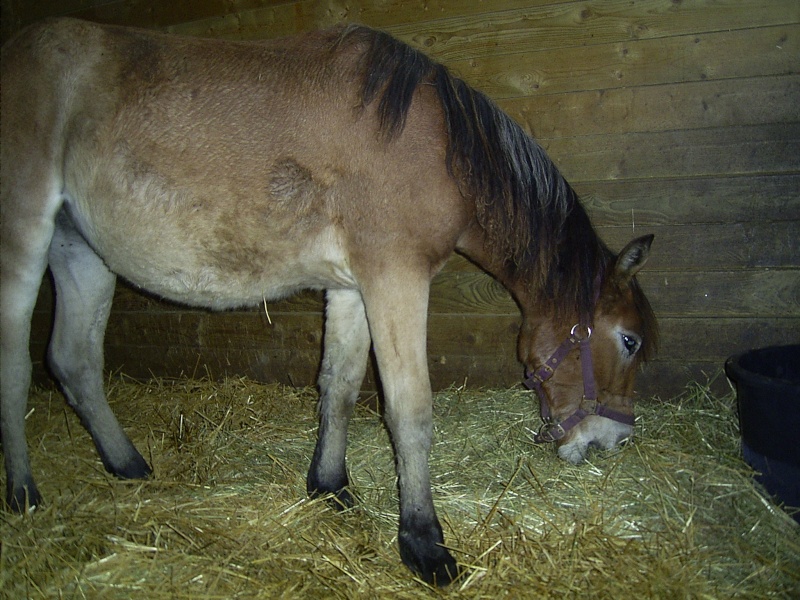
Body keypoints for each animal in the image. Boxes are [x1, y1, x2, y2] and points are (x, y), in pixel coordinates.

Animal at [1, 19, 656, 584]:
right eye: (628, 340)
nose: (612, 439)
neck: (439, 146)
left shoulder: (351, 287)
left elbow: (337, 385)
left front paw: (330, 484)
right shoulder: (395, 279)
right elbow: (409, 412)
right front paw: (423, 543)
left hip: (81, 254)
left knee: (75, 362)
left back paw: (127, 465)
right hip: (24, 242)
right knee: (16, 368)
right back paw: (23, 493)